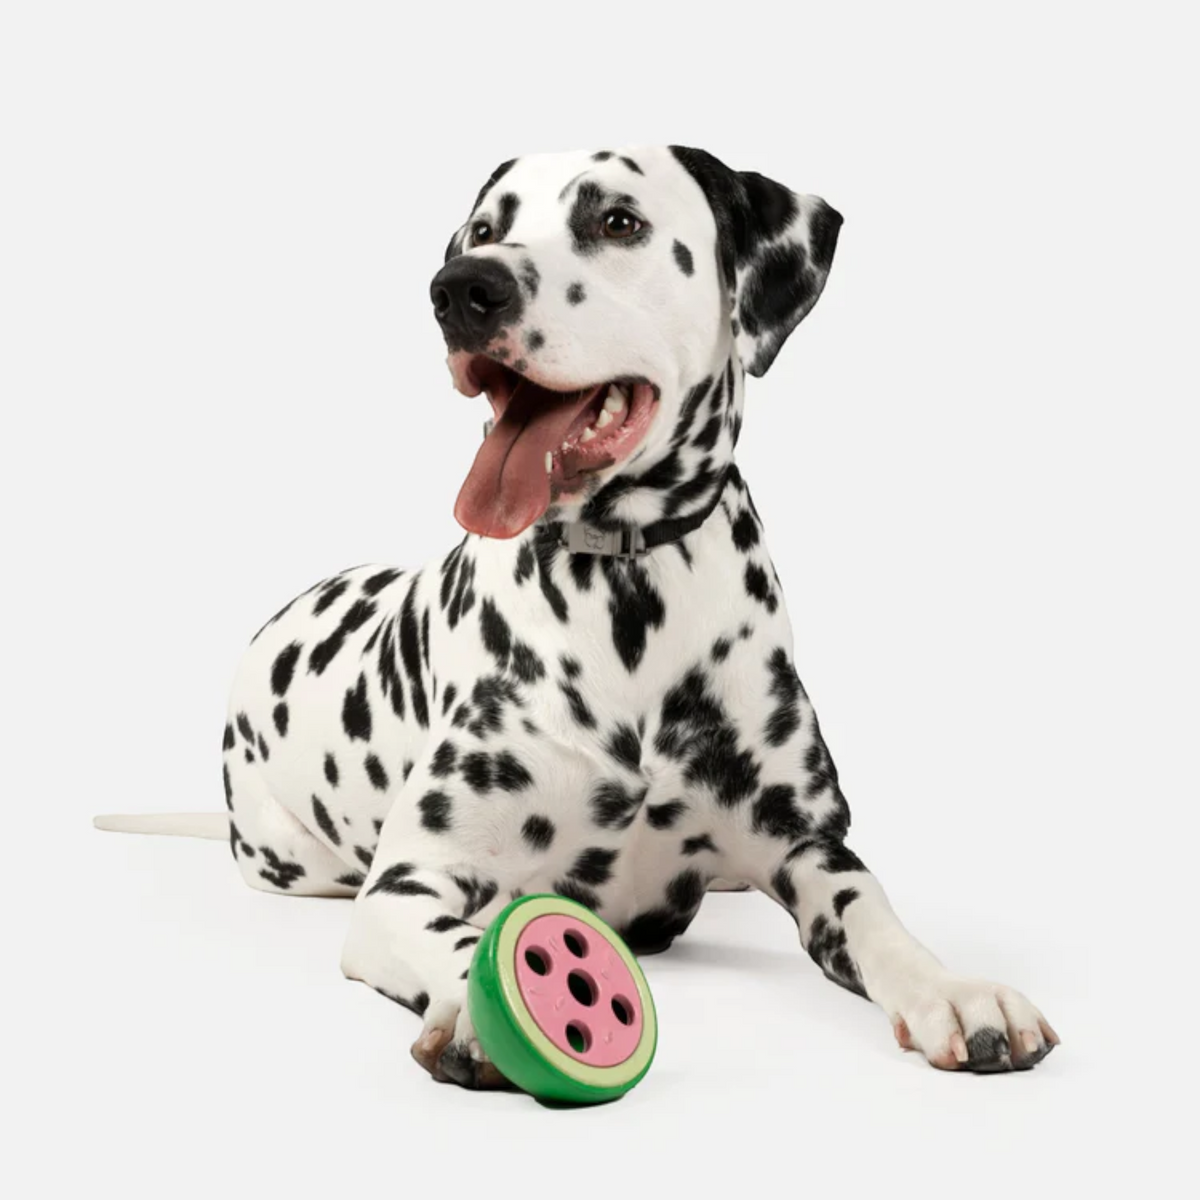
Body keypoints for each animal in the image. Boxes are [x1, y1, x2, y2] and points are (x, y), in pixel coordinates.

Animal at [96, 147, 1060, 1089]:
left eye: (617, 221)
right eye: (485, 229)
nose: (461, 288)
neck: (628, 594)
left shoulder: (813, 849)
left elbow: (875, 915)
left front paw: (957, 990)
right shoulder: (407, 886)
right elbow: (461, 934)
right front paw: (480, 1009)